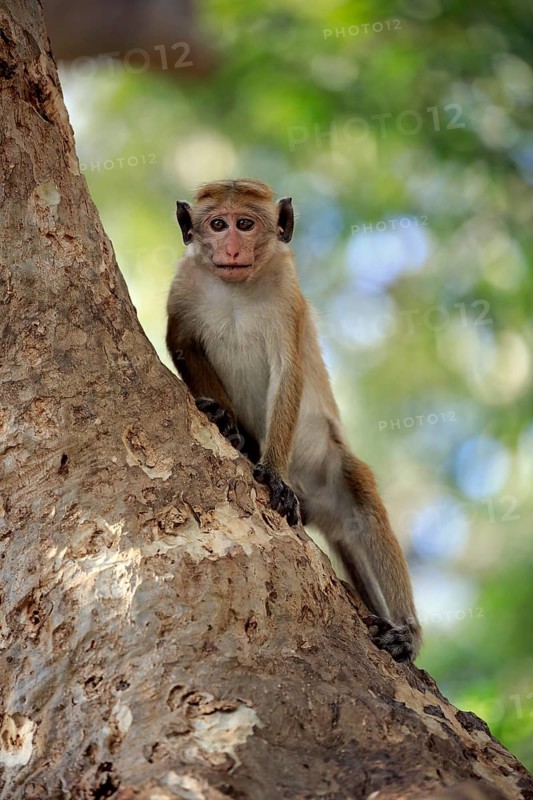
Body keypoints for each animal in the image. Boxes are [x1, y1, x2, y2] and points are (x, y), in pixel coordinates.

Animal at [166, 178, 421, 662]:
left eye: (245, 224)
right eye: (218, 224)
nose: (231, 247)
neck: (237, 288)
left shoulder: (286, 291)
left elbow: (288, 374)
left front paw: (273, 473)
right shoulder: (184, 285)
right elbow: (183, 344)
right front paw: (227, 423)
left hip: (332, 470)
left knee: (363, 506)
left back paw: (407, 632)